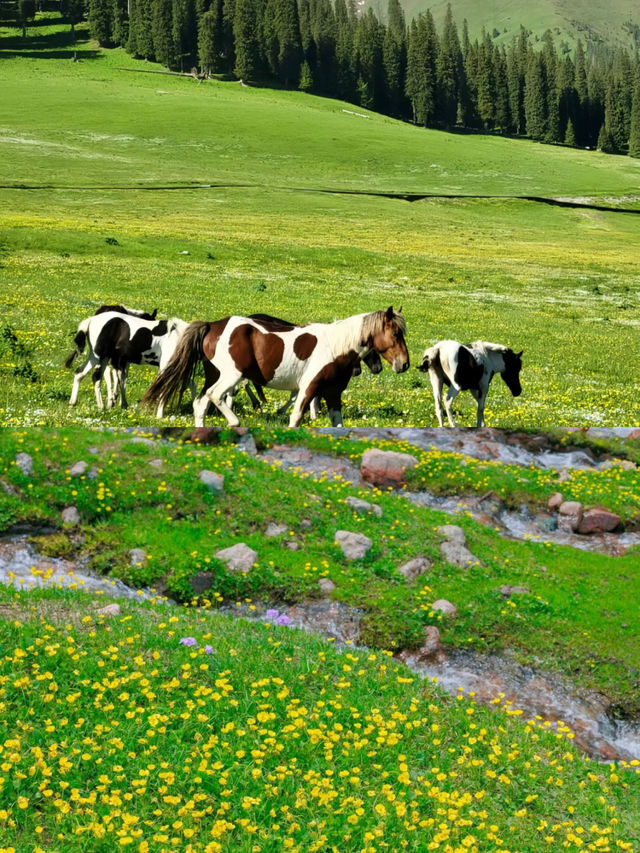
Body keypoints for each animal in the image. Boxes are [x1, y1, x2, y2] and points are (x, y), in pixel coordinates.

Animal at [142, 304, 408, 426]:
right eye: (396, 333)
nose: (404, 364)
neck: (335, 347)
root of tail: (213, 325)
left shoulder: (332, 394)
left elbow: (338, 425)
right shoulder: (308, 388)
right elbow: (296, 417)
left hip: (214, 375)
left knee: (200, 404)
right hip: (231, 376)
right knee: (214, 396)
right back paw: (235, 422)